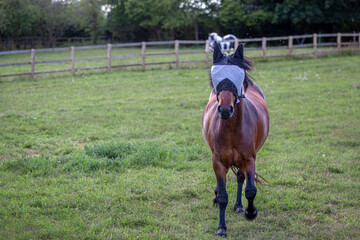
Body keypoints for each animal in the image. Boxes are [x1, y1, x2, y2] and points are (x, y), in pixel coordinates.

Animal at [201, 41, 268, 236]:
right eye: (215, 77)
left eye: (237, 76)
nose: (225, 109)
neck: (231, 129)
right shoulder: (218, 161)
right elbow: (224, 196)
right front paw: (221, 227)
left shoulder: (249, 159)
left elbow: (250, 189)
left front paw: (250, 212)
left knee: (240, 177)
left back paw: (239, 206)